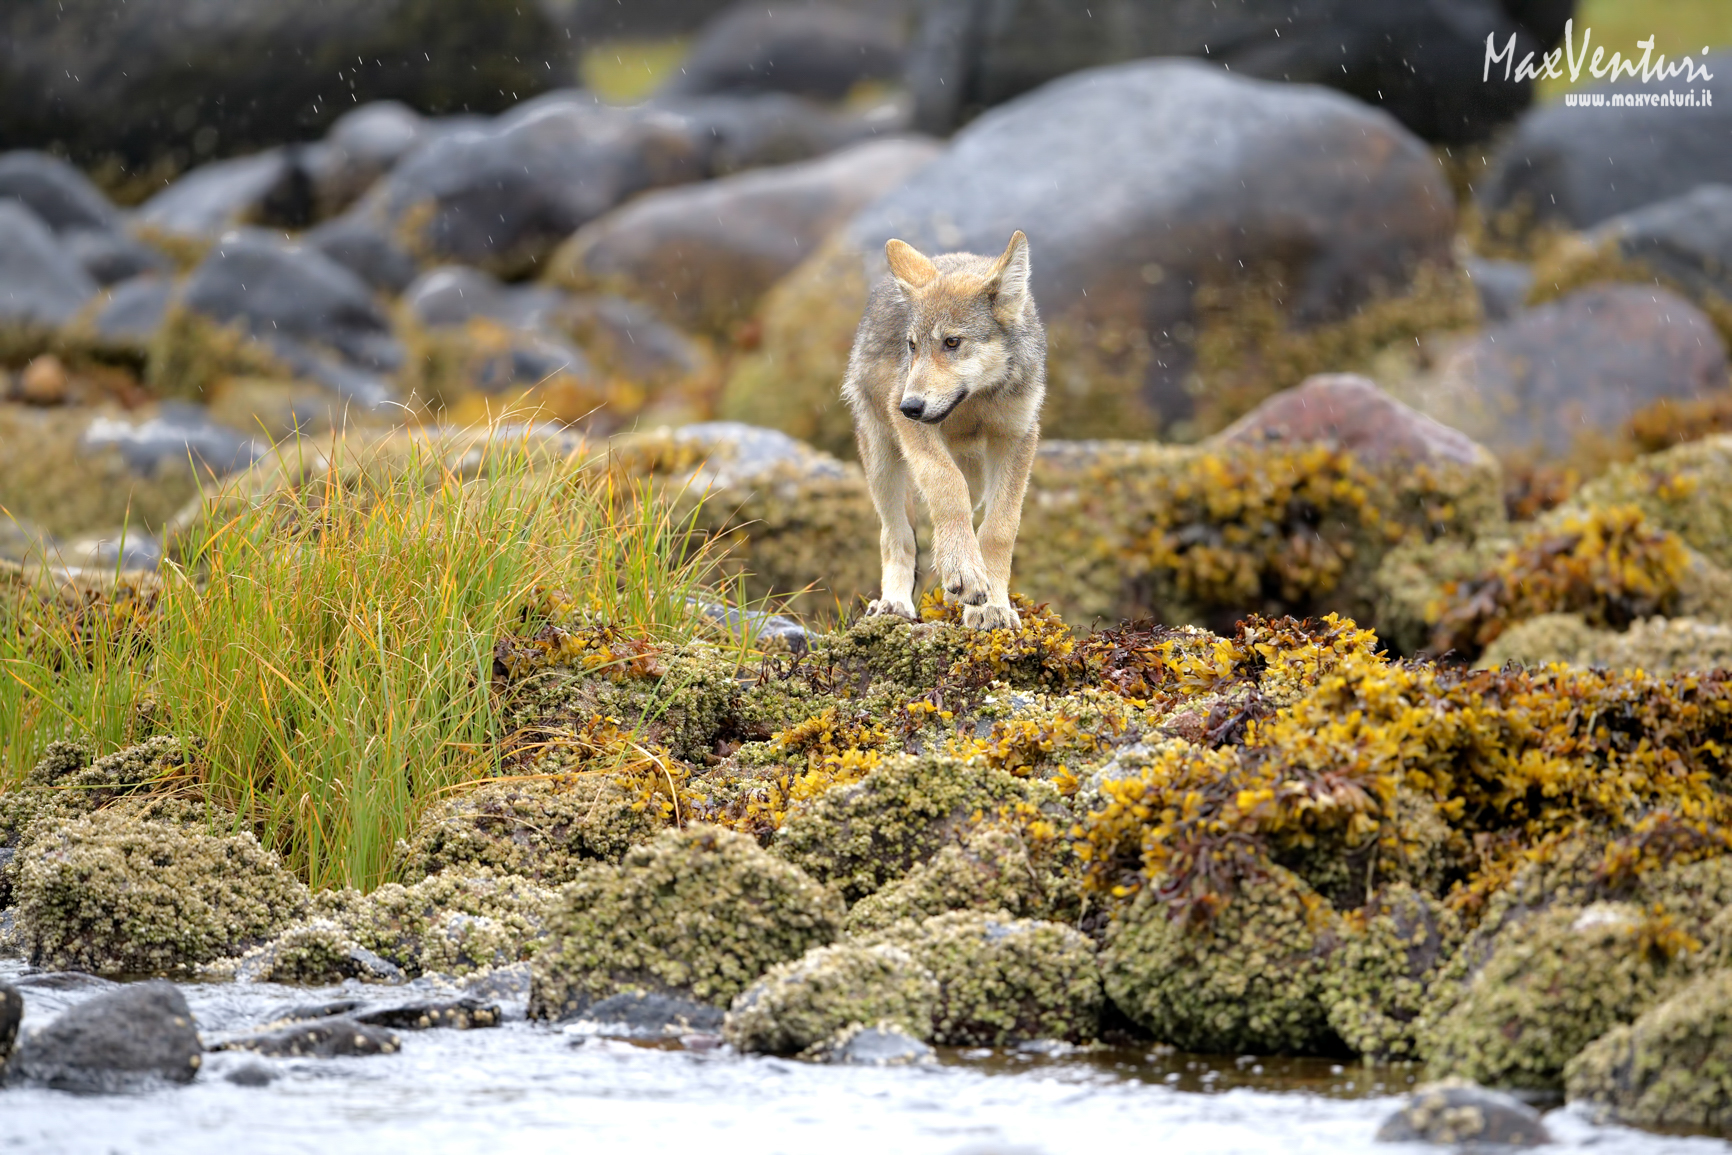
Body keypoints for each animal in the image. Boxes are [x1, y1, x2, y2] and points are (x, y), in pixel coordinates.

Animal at [841, 230, 1045, 630]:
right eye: (912, 346)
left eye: (952, 342)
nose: (910, 407)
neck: (976, 402)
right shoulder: (915, 432)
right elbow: (946, 487)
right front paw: (964, 572)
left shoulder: (1017, 438)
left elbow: (999, 529)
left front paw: (992, 606)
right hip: (883, 462)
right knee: (897, 535)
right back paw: (894, 603)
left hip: (977, 474)